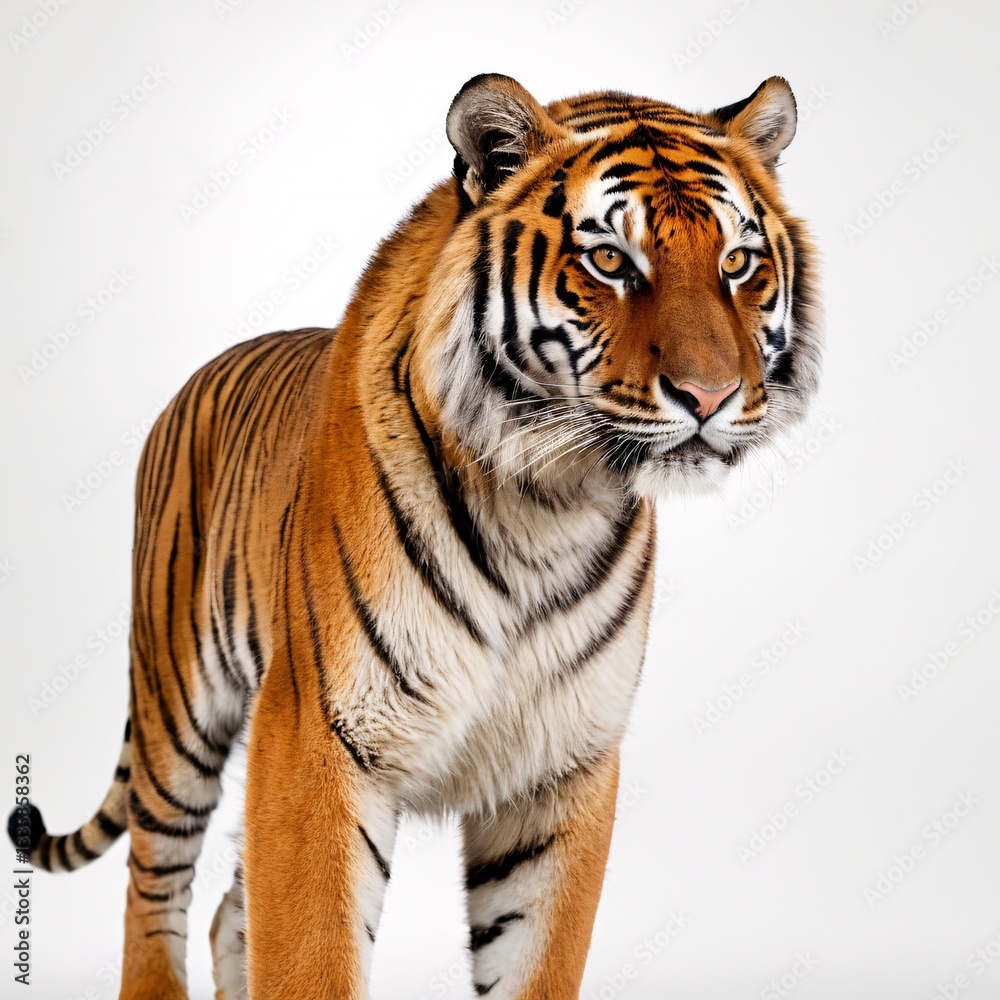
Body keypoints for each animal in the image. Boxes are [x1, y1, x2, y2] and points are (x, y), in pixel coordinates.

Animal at [8, 73, 820, 999]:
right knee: (155, 881)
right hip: (178, 702)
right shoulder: (317, 736)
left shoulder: (562, 768)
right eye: (610, 261)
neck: (547, 504)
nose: (711, 396)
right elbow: (311, 954)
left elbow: (534, 961)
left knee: (226, 912)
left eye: (738, 263)